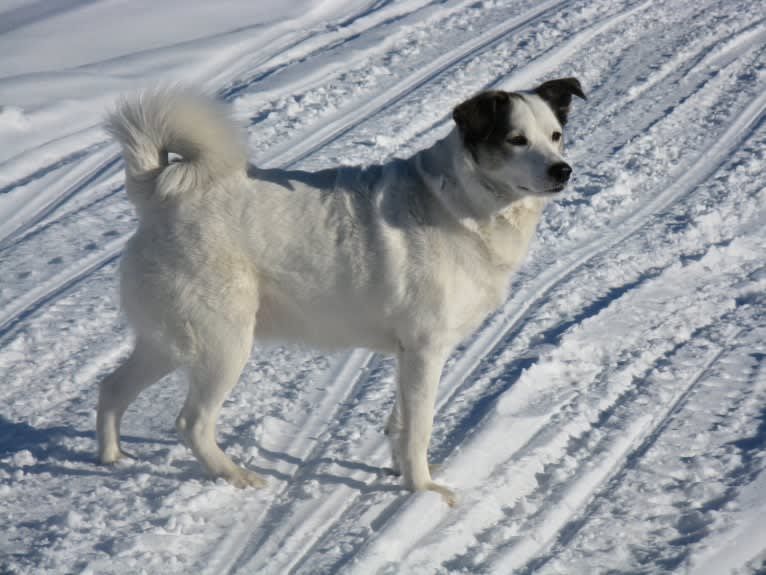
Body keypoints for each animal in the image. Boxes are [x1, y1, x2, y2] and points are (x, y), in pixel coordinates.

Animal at [97, 77, 588, 504]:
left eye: (556, 135)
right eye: (516, 140)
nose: (562, 170)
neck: (460, 201)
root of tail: (159, 197)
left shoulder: (409, 355)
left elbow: (400, 424)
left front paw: (400, 472)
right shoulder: (425, 351)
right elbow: (419, 430)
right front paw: (422, 491)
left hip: (169, 341)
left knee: (112, 388)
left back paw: (111, 457)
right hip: (222, 345)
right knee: (192, 423)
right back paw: (236, 476)